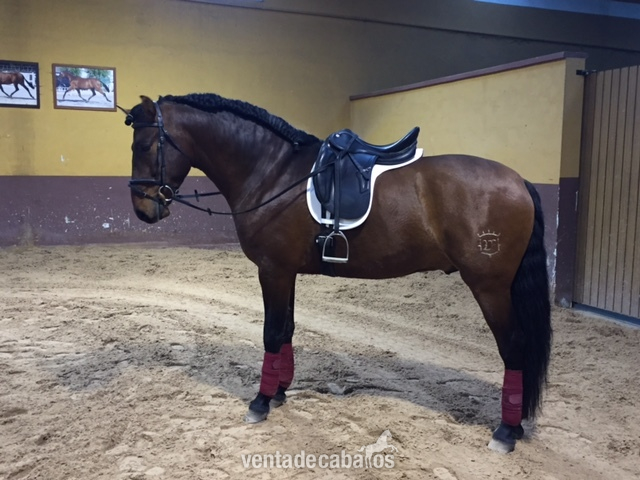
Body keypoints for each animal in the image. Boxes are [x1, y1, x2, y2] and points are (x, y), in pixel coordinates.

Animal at [123, 93, 551, 454]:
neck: (273, 173)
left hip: (490, 287)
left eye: (143, 146)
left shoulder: (272, 271)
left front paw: (261, 401)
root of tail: (519, 181)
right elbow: (286, 330)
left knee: (513, 345)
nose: (143, 210)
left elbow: (271, 332)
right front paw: (279, 391)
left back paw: (506, 431)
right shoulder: (286, 272)